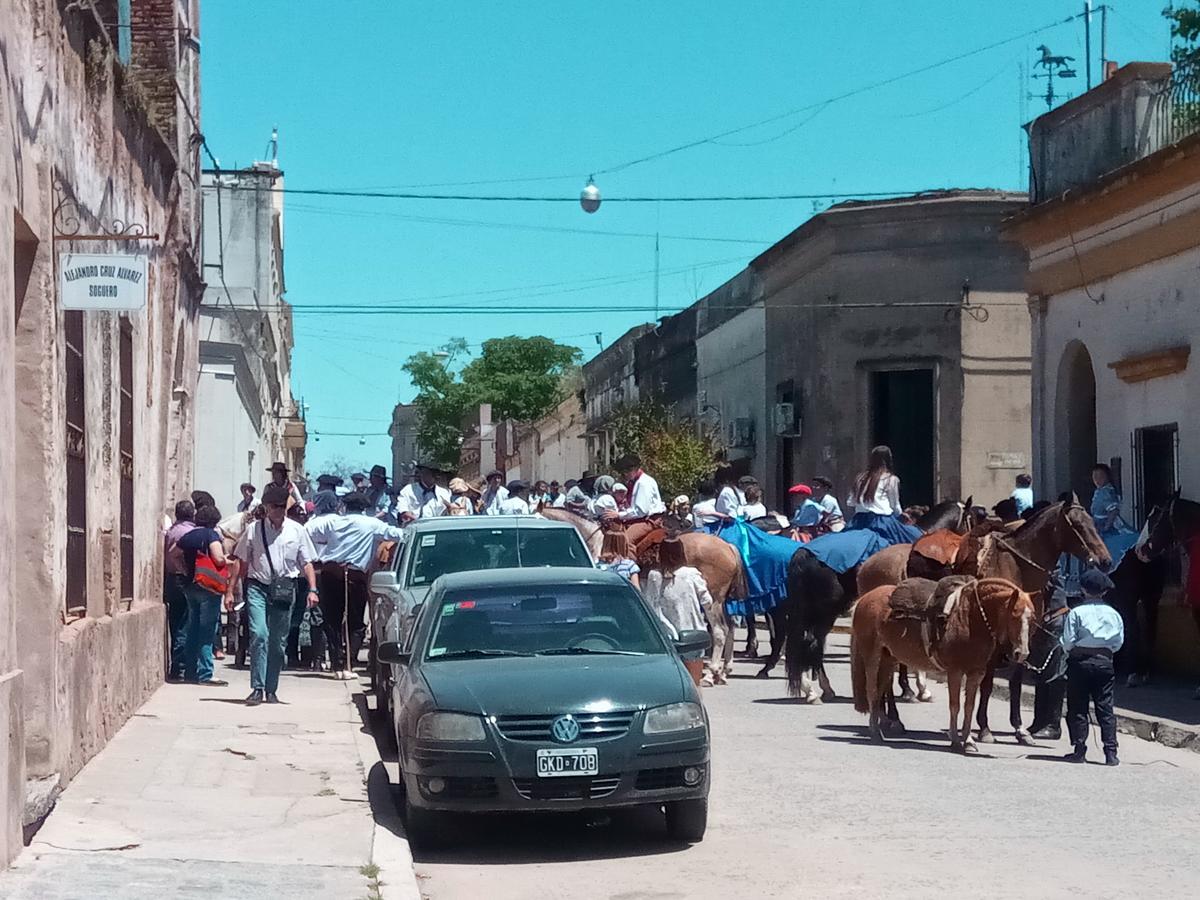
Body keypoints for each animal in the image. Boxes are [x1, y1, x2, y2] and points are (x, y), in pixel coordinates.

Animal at [849, 578, 1036, 753]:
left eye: (1032, 618)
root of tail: (864, 599)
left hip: (888, 659)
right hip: (872, 657)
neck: (970, 619)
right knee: (872, 691)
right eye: (1014, 615)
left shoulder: (976, 673)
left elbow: (969, 706)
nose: (1022, 653)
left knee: (881, 689)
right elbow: (955, 705)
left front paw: (968, 741)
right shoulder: (955, 671)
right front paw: (955, 741)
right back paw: (876, 732)